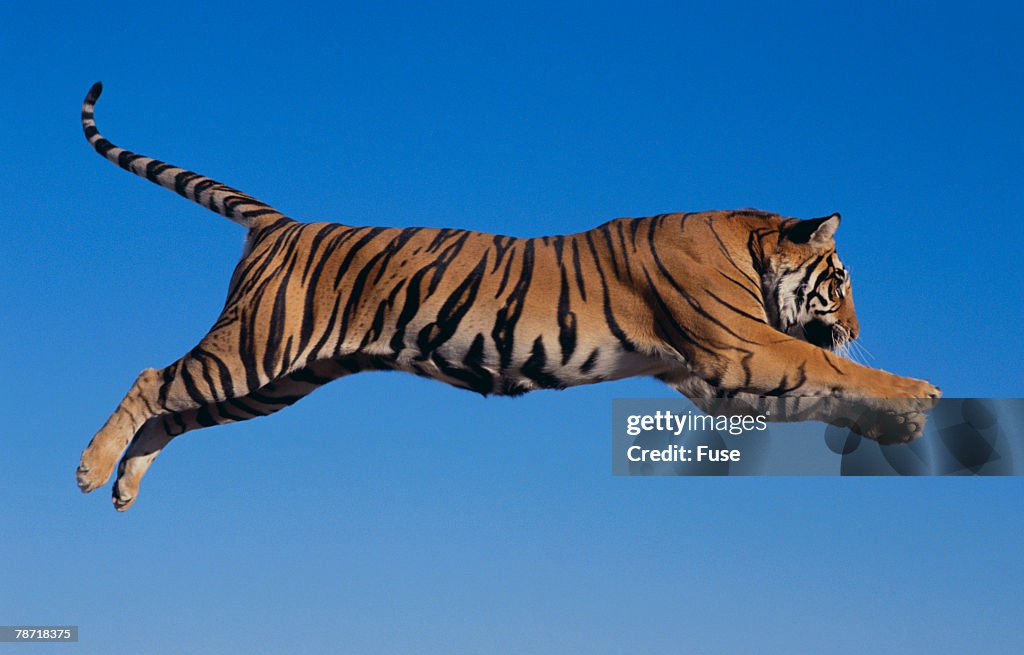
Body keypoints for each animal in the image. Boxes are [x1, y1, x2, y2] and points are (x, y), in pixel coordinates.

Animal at [76, 82, 940, 509]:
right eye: (842, 285)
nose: (856, 323)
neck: (747, 243)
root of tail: (282, 222)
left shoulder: (716, 377)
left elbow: (824, 388)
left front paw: (895, 422)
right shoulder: (742, 347)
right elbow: (833, 370)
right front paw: (918, 395)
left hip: (276, 379)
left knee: (175, 410)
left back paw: (124, 486)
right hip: (257, 350)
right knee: (153, 379)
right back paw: (91, 468)